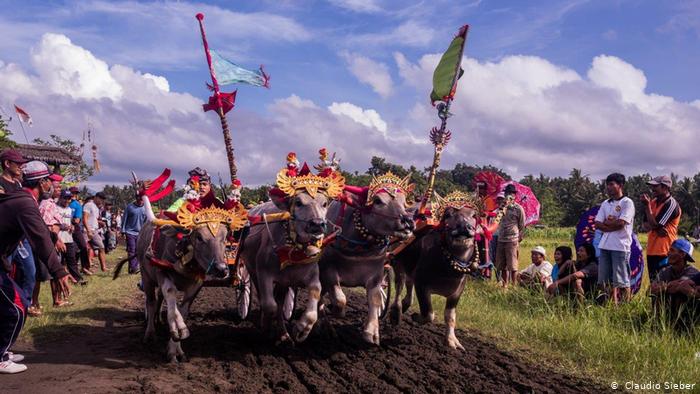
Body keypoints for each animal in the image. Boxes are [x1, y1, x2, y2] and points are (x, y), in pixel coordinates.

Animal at [322, 172, 416, 344]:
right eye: (378, 200)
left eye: (404, 202)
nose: (408, 222)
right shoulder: (328, 268)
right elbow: (340, 298)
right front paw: (337, 311)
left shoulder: (376, 273)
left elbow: (376, 298)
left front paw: (371, 331)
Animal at [388, 192, 482, 350]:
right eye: (448, 215)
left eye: (474, 215)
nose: (465, 227)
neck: (448, 269)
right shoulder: (422, 284)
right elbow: (428, 313)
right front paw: (415, 317)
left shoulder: (457, 292)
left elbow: (450, 317)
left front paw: (451, 340)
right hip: (397, 261)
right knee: (399, 285)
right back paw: (396, 313)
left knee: (408, 284)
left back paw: (406, 303)